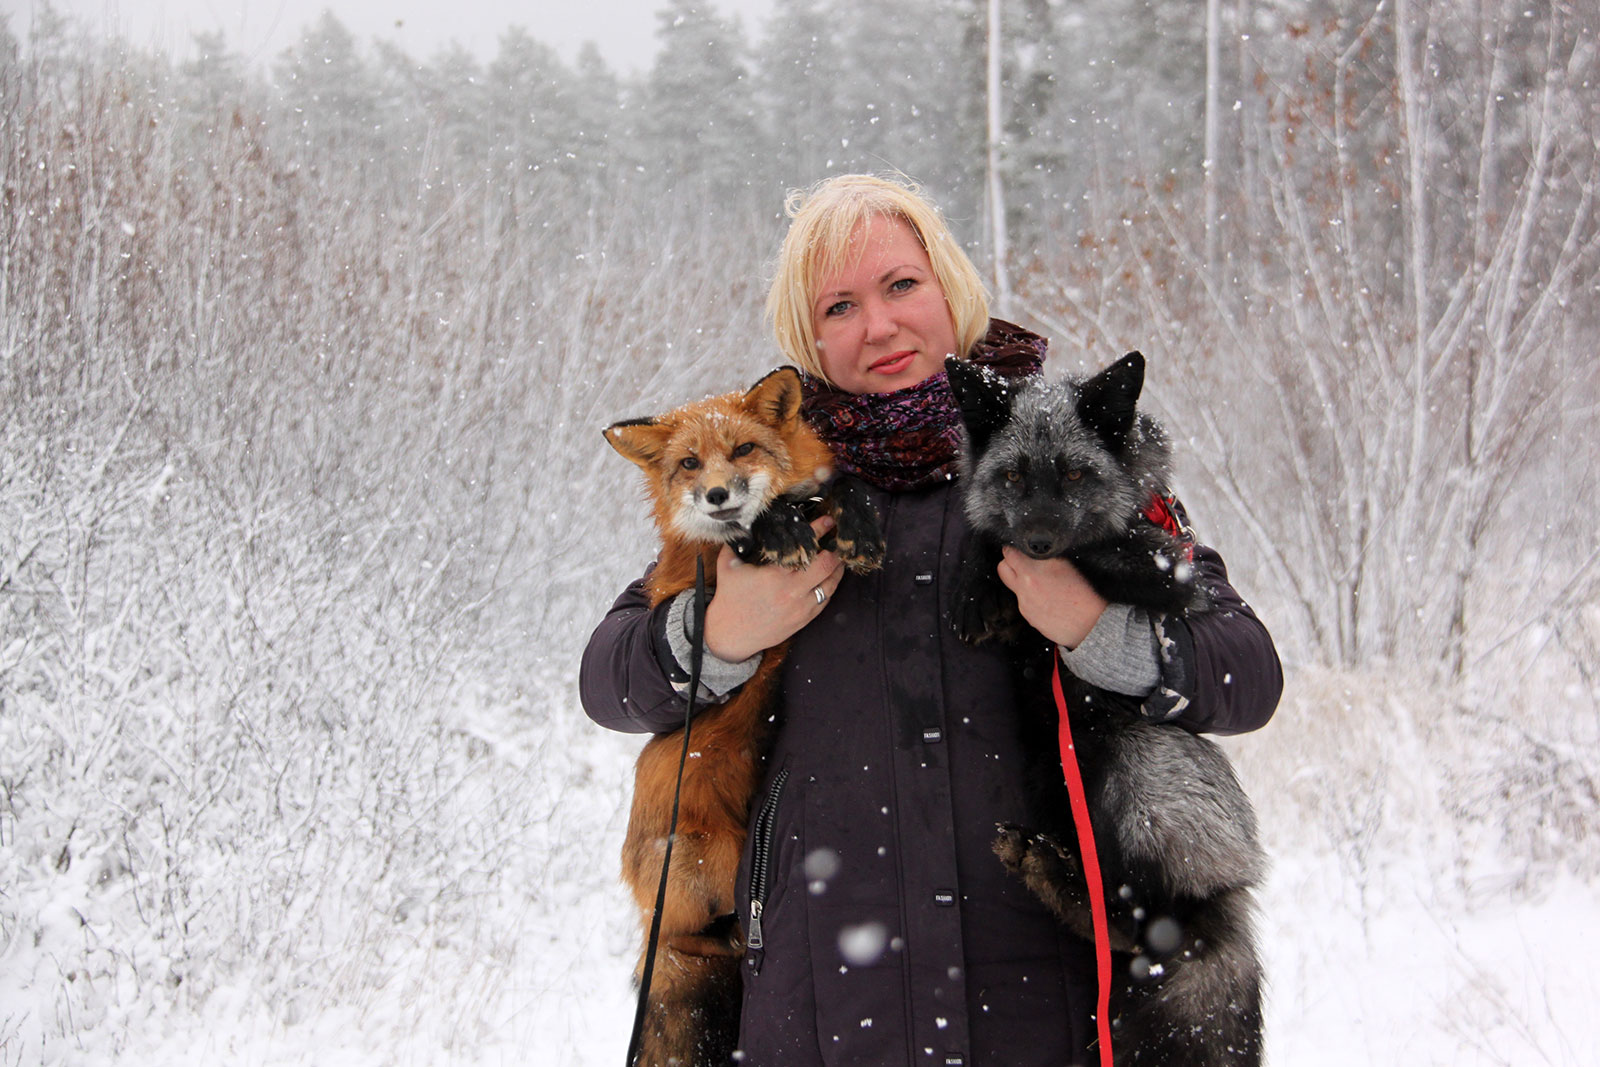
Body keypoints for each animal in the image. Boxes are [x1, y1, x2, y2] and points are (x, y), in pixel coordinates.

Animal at [601, 369, 883, 1067]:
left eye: (744, 450)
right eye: (689, 464)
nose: (718, 495)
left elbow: (842, 486)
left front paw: (859, 524)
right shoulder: (696, 573)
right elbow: (743, 536)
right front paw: (774, 528)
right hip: (710, 854)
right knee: (692, 934)